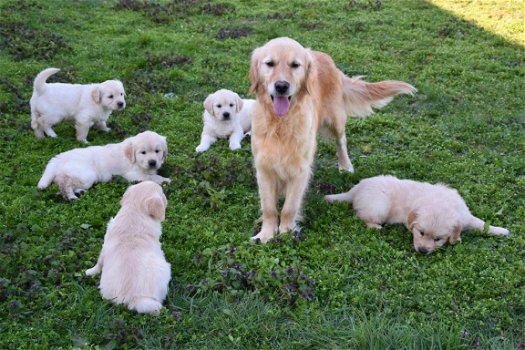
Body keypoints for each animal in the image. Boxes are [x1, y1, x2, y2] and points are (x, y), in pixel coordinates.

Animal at [37, 130, 169, 200]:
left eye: (157, 151)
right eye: (143, 152)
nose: (152, 162)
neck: (133, 158)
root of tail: (59, 158)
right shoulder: (133, 174)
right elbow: (151, 177)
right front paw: (166, 180)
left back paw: (79, 192)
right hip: (86, 175)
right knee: (65, 182)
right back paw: (71, 196)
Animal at [86, 180, 171, 314]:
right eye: (162, 194)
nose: (166, 198)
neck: (134, 210)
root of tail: (133, 299)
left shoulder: (105, 245)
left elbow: (99, 261)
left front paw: (90, 271)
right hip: (165, 269)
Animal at [248, 37, 416, 242]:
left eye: (295, 65)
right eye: (269, 63)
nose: (281, 86)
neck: (280, 124)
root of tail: (325, 57)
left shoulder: (300, 170)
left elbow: (290, 207)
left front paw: (287, 232)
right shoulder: (263, 168)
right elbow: (269, 208)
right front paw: (266, 234)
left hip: (336, 119)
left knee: (341, 141)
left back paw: (345, 166)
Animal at [324, 175, 508, 254]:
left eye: (438, 239)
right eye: (421, 233)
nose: (422, 251)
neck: (441, 202)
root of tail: (357, 188)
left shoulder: (465, 215)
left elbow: (481, 223)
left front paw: (501, 231)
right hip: (379, 206)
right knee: (361, 216)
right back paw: (375, 227)